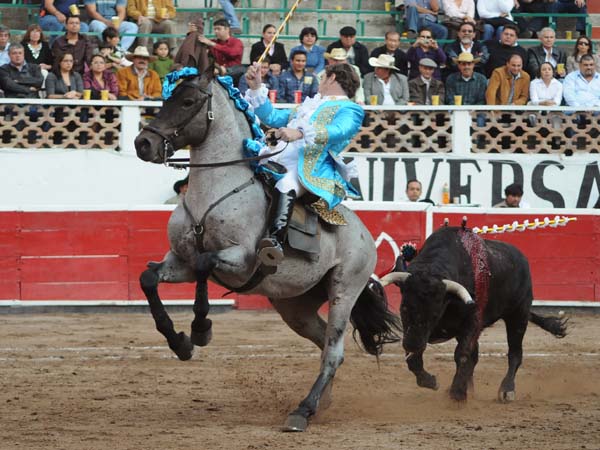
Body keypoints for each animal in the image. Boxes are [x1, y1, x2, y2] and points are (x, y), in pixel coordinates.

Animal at [134, 71, 400, 432]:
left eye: (188, 101)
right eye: (166, 98)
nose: (143, 144)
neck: (212, 191)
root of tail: (365, 234)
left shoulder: (239, 259)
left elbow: (205, 264)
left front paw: (201, 330)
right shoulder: (179, 261)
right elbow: (148, 278)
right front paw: (180, 343)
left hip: (345, 289)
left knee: (334, 351)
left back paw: (302, 411)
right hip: (294, 307)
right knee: (323, 342)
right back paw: (321, 403)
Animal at [380, 227, 568, 402]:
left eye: (435, 314)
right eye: (403, 308)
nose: (411, 344)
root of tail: (522, 259)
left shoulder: (471, 321)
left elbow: (462, 355)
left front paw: (457, 393)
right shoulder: (417, 331)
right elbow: (416, 359)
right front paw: (431, 381)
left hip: (518, 315)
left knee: (515, 353)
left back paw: (507, 390)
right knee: (476, 356)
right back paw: (470, 388)